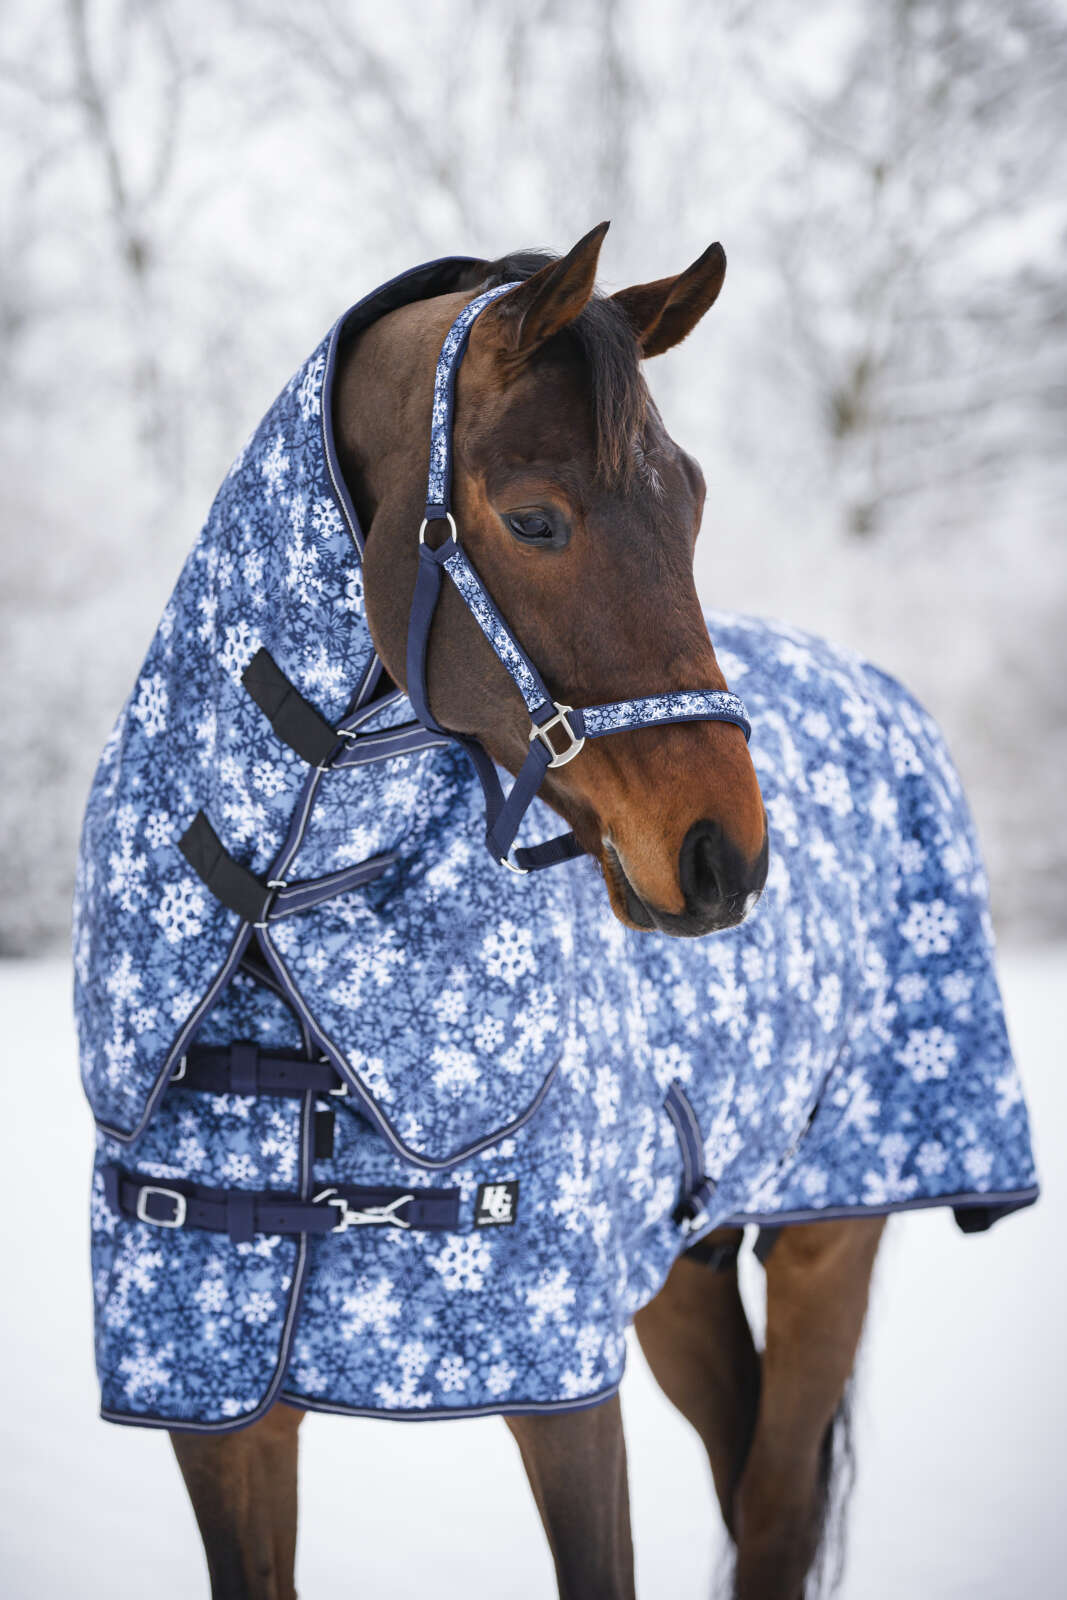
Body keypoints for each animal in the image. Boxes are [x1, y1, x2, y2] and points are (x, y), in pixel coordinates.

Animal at [75, 224, 1037, 1600]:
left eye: (691, 502)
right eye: (534, 518)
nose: (723, 856)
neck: (277, 936)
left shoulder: (565, 1396)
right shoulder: (216, 1417)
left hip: (830, 1236)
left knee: (773, 1508)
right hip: (676, 1273)